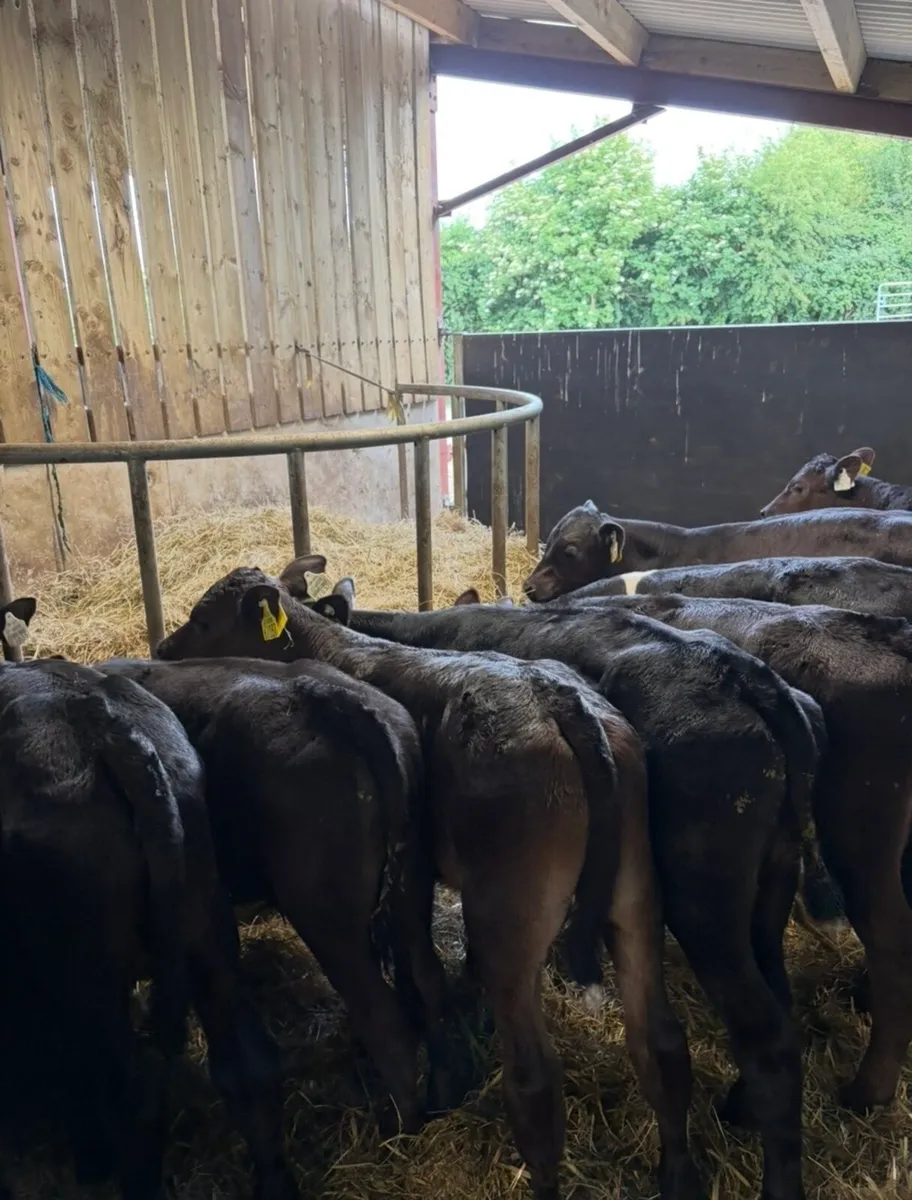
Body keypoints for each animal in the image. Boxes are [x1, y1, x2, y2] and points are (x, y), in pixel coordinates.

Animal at [94, 655, 448, 1132]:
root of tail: (333, 701)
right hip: (412, 888)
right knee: (427, 981)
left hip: (326, 917)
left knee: (383, 1019)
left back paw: (400, 1127)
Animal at [155, 567, 701, 1200]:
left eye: (202, 620)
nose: (161, 650)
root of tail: (555, 697)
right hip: (636, 894)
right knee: (661, 1041)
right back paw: (678, 1172)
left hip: (507, 913)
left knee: (534, 1078)